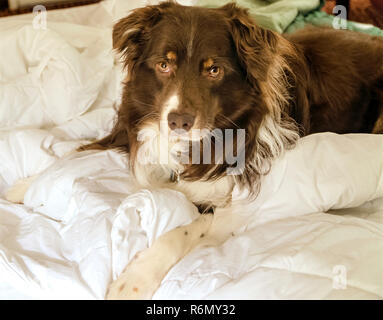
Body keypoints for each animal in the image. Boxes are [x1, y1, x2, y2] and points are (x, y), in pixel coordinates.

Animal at [6, 1, 383, 298]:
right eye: (164, 65)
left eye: (213, 70)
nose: (179, 121)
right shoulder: (131, 128)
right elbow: (76, 151)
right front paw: (22, 186)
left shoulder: (230, 204)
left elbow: (180, 231)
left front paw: (134, 280)